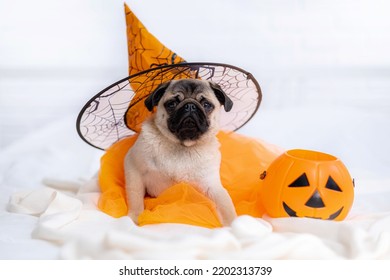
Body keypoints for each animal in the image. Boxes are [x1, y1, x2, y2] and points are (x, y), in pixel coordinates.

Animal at [123, 78, 236, 225]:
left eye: (206, 105)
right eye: (172, 104)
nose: (190, 106)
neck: (183, 146)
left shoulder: (212, 186)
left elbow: (225, 205)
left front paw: (235, 224)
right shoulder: (134, 168)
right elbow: (135, 196)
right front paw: (134, 218)